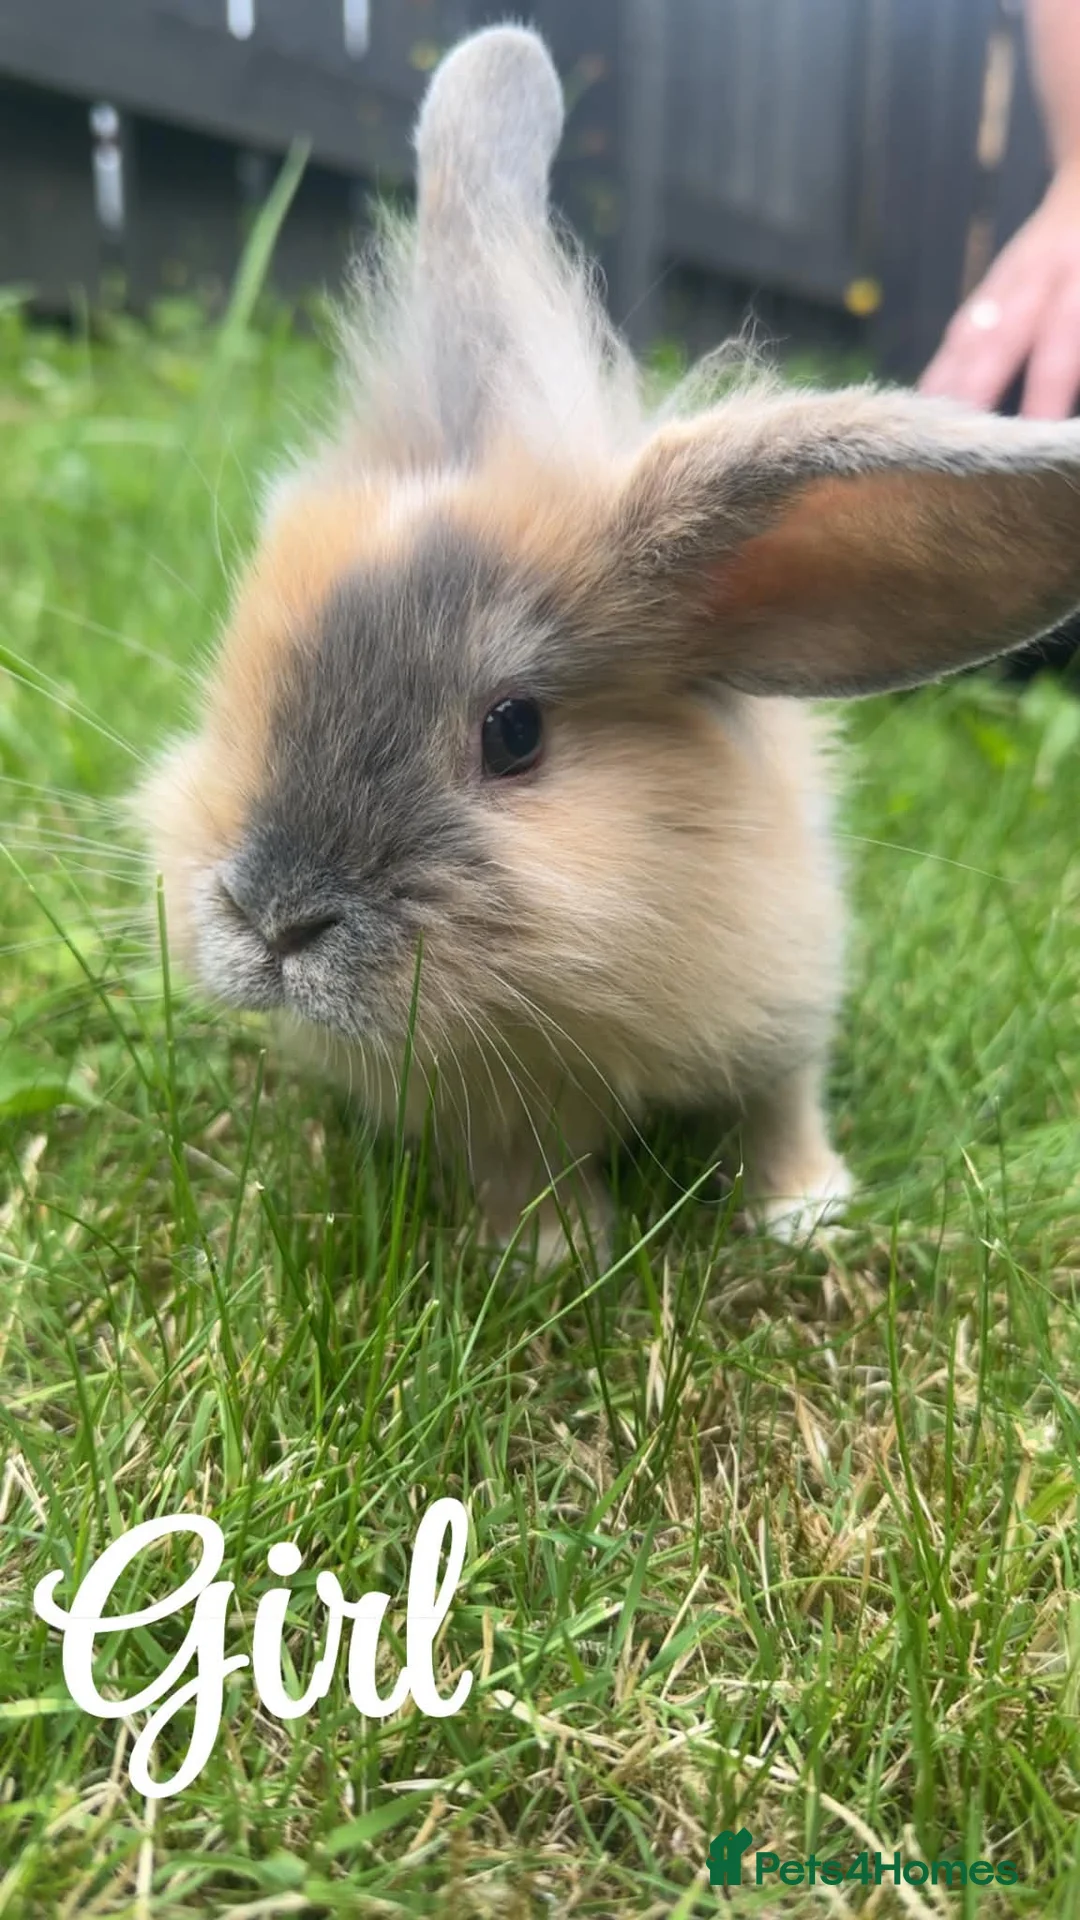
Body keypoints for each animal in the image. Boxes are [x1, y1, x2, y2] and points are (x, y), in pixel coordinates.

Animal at [141, 24, 1080, 1270]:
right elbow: (522, 1163)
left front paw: (806, 1213)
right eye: (240, 682)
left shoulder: (788, 1005)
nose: (270, 921)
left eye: (514, 733)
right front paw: (549, 1254)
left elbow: (782, 1107)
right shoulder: (490, 1110)